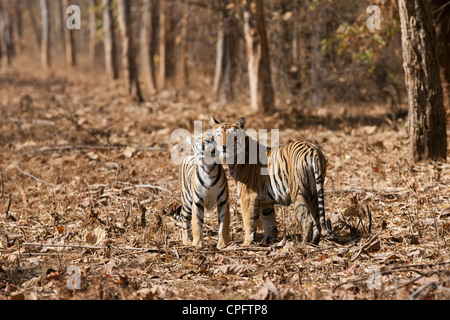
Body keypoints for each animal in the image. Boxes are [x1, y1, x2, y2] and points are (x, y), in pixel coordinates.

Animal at [209, 117, 328, 245]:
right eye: (218, 135)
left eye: (232, 136)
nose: (224, 147)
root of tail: (313, 150)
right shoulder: (265, 201)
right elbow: (269, 222)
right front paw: (269, 241)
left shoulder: (248, 196)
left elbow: (248, 220)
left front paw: (246, 243)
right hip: (314, 194)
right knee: (317, 220)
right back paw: (314, 242)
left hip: (299, 192)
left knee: (307, 219)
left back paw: (304, 244)